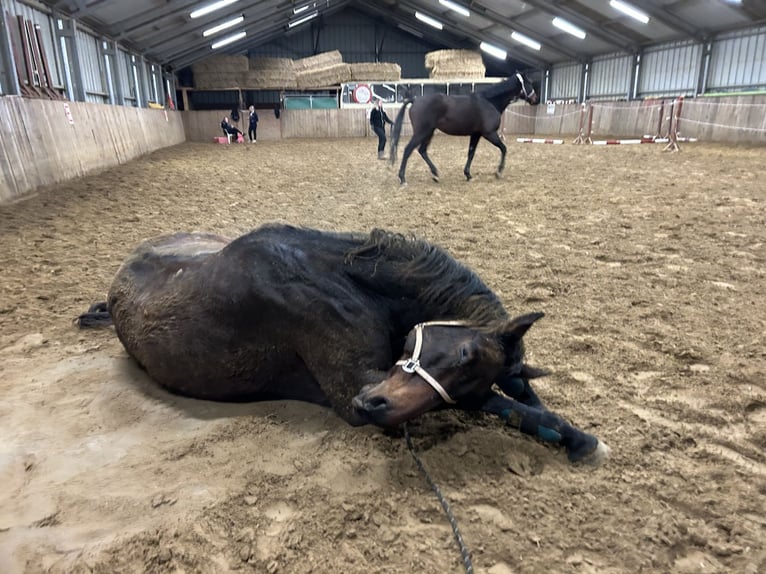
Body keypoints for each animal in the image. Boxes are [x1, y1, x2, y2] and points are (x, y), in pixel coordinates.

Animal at [76, 225, 608, 468]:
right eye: (464, 355)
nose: (375, 403)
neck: (344, 279)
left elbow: (517, 395)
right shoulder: (358, 385)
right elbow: (501, 405)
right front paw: (581, 440)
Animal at [392, 72, 536, 184]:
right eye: (529, 83)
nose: (535, 99)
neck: (489, 102)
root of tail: (414, 100)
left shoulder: (476, 134)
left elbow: (471, 153)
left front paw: (468, 175)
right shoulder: (489, 133)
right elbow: (503, 148)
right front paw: (499, 172)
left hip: (429, 132)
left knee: (422, 150)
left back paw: (435, 175)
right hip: (422, 132)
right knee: (408, 150)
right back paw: (403, 179)